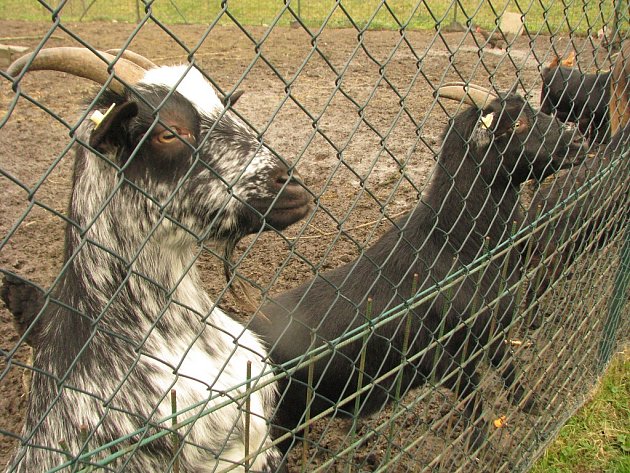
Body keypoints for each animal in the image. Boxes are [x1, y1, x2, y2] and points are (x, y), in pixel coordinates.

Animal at [251, 84, 588, 454]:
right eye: (517, 124)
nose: (578, 141)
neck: (455, 243)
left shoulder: (493, 327)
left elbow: (508, 368)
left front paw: (530, 405)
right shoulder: (448, 358)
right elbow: (474, 403)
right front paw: (482, 448)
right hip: (281, 424)